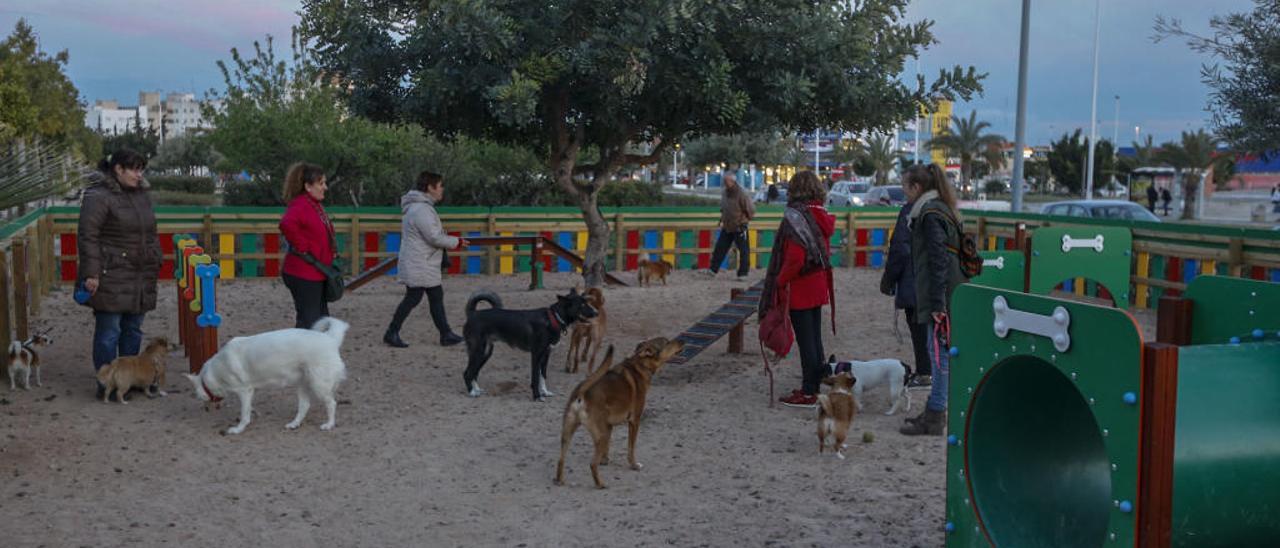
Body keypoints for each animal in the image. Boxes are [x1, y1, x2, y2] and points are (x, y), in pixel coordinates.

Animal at [183, 316, 348, 437]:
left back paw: (329, 425)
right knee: (304, 406)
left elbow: (244, 414)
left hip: (319, 385)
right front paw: (253, 413)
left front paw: (238, 429)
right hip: (302, 384)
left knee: (332, 403)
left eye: (198, 396)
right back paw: (294, 424)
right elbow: (248, 409)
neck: (214, 372)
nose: (205, 409)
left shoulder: (244, 391)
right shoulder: (250, 392)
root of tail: (330, 338)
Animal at [463, 289, 596, 399]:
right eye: (582, 305)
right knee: (467, 373)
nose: (597, 312)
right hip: (478, 351)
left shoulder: (546, 354)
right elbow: (535, 377)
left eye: (587, 302)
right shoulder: (536, 354)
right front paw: (537, 396)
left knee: (474, 372)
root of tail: (473, 314)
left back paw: (477, 389)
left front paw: (544, 392)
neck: (553, 319)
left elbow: (543, 375)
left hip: (485, 353)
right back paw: (472, 392)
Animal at [555, 335, 686, 489]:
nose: (683, 341)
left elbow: (607, 447)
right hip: (599, 435)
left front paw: (605, 460)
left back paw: (560, 480)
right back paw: (600, 484)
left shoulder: (609, 426)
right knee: (592, 464)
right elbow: (631, 448)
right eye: (667, 342)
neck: (640, 365)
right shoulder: (634, 421)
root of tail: (582, 393)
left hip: (567, 433)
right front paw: (634, 465)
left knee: (561, 459)